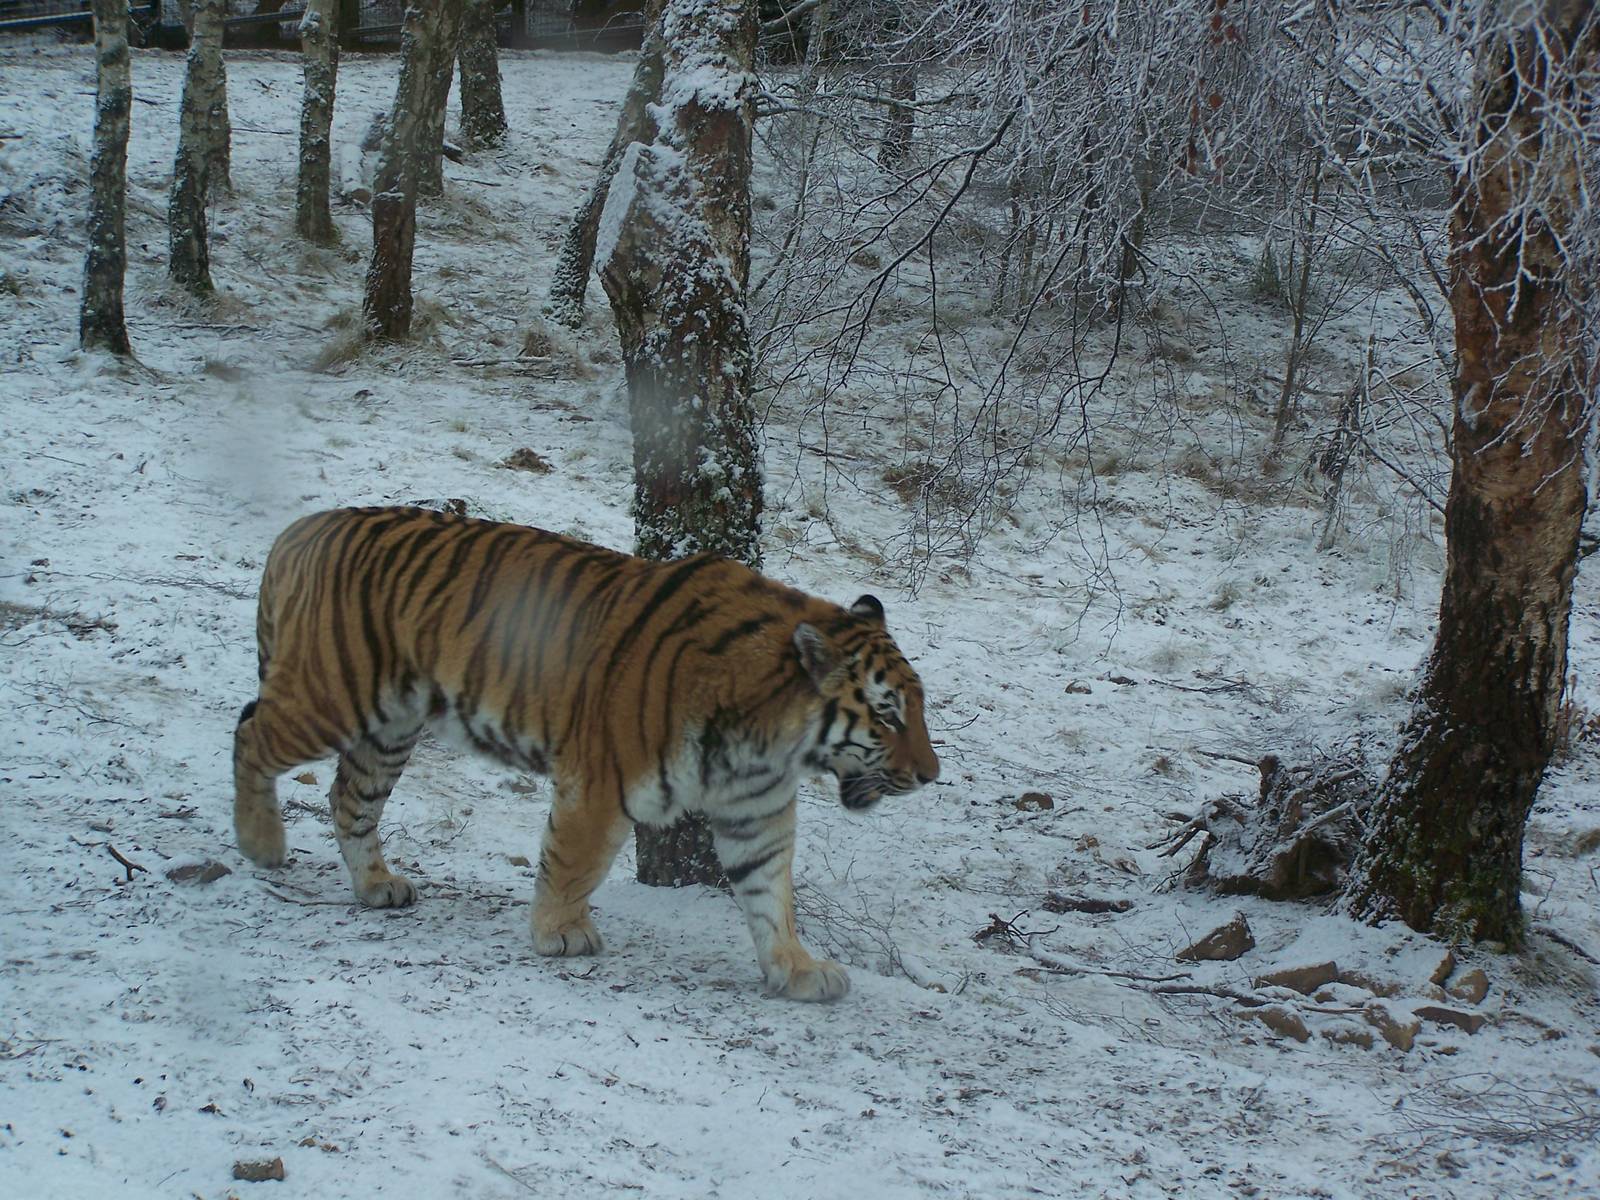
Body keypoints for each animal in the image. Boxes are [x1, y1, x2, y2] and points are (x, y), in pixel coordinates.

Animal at [232, 506, 940, 1002]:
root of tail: (300, 528)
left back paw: (376, 886)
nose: (930, 775)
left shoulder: (755, 811)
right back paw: (260, 843)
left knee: (348, 796)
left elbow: (771, 895)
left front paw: (796, 970)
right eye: (887, 715)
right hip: (329, 697)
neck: (772, 739)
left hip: (390, 727)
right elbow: (574, 860)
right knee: (249, 731)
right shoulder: (603, 779)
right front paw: (561, 932)